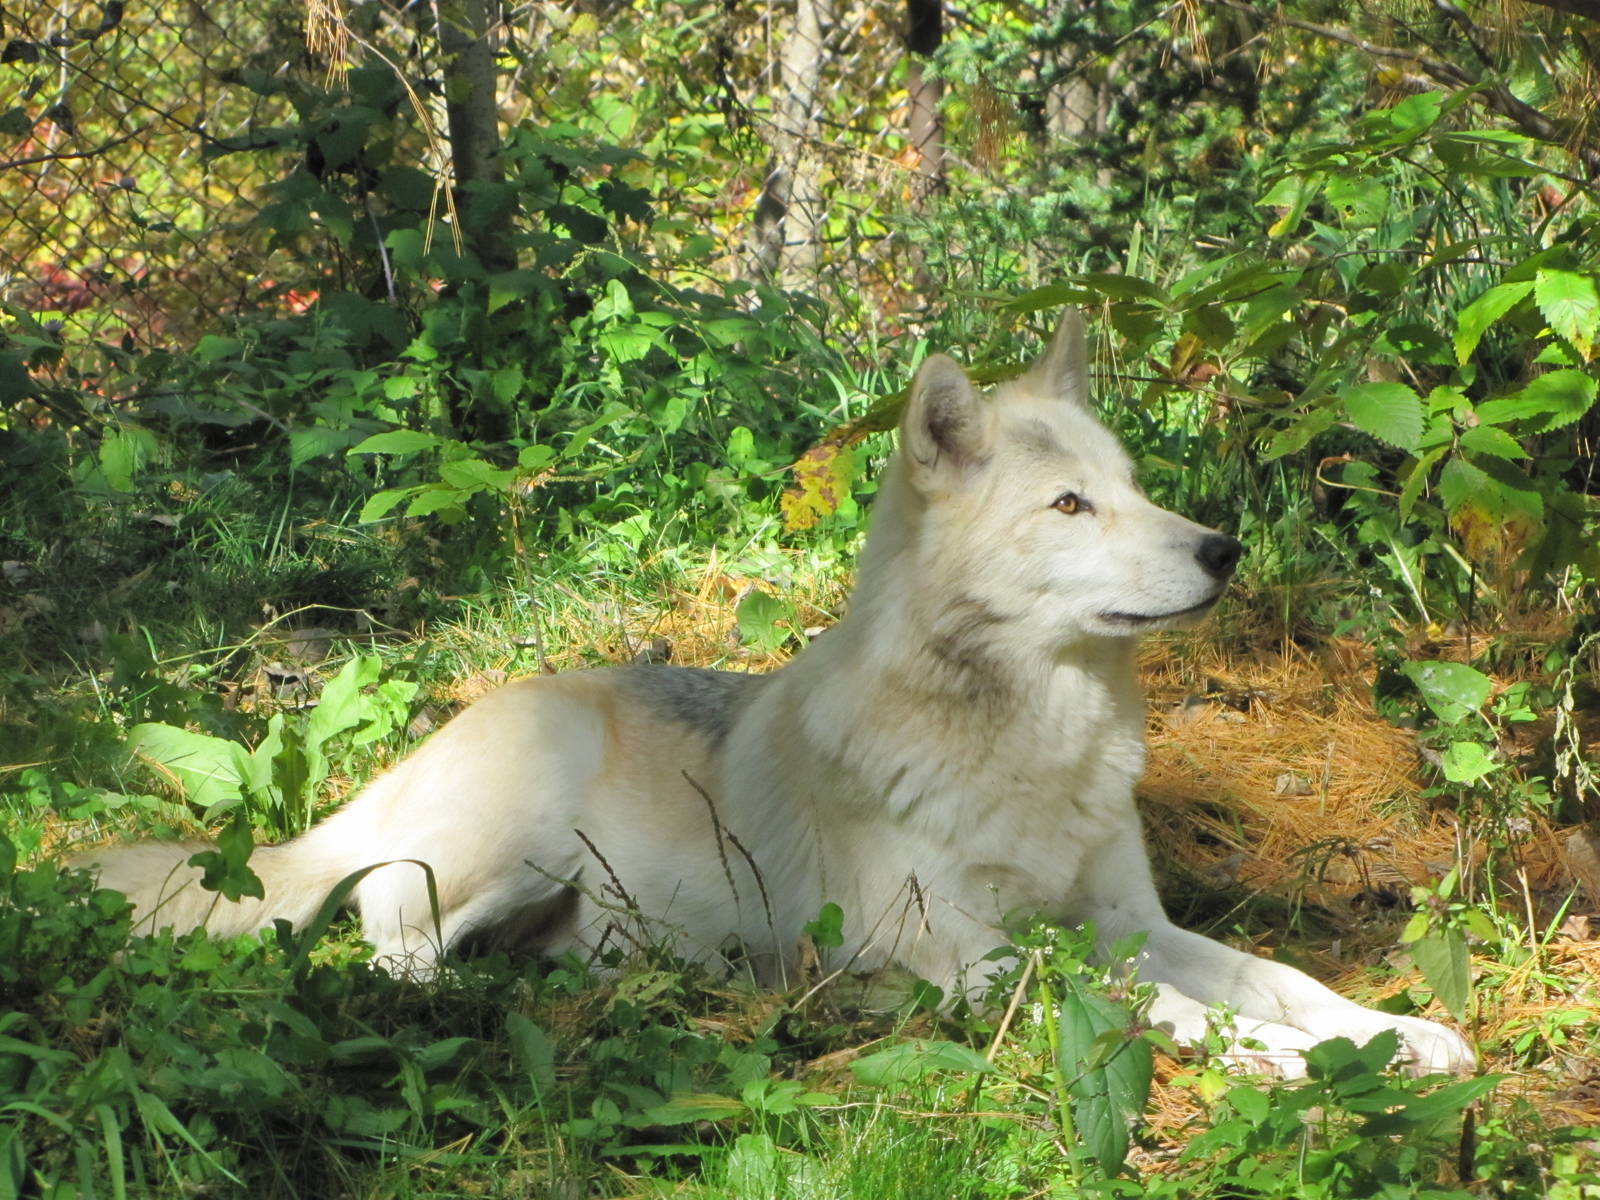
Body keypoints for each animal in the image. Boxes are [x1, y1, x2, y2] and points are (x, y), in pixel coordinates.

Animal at [80, 311, 1473, 1076]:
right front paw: (1305, 1065)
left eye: (1133, 488)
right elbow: (1184, 1016)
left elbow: (1274, 978)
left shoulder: (1124, 922)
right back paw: (469, 995)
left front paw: (1396, 1035)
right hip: (516, 831)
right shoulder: (985, 962)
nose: (1222, 551)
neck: (1031, 745)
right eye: (1071, 506)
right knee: (384, 931)